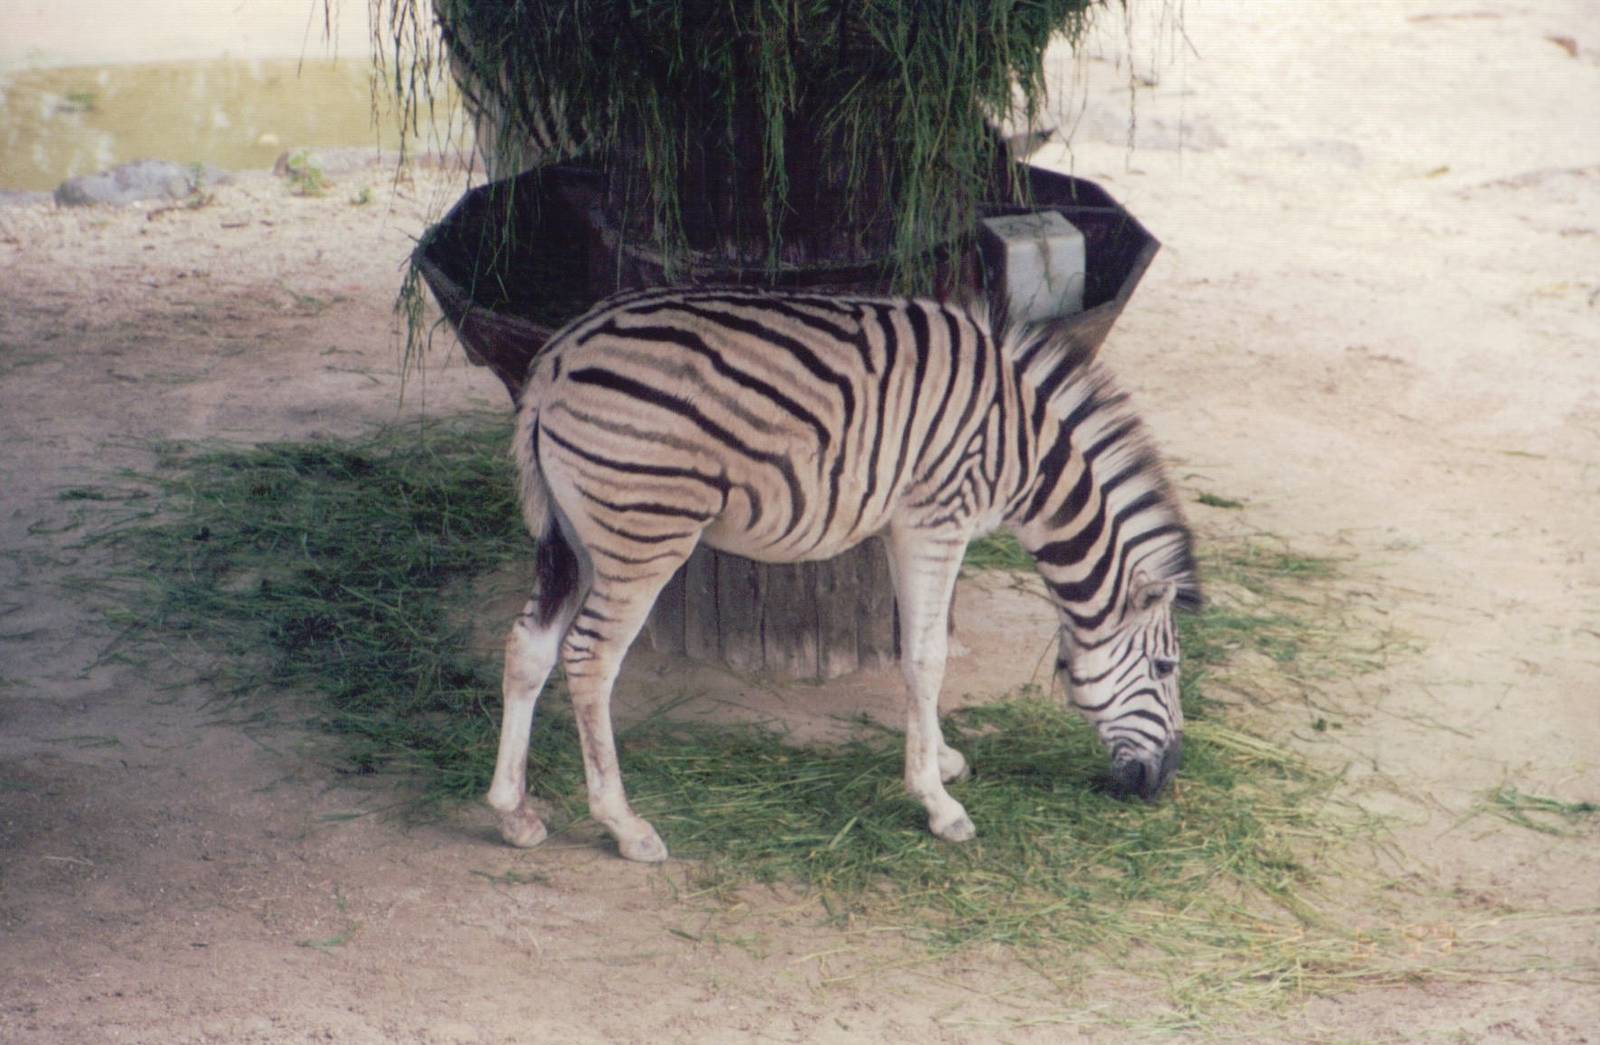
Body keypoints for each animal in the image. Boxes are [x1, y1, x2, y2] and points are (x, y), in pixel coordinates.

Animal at [487, 286, 1200, 862]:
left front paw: (941, 759)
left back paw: (512, 812)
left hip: (576, 538)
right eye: (1166, 667)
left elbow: (920, 649)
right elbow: (927, 659)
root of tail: (554, 361)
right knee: (589, 660)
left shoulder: (902, 526)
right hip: (643, 534)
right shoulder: (937, 520)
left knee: (529, 645)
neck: (1026, 449)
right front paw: (938, 805)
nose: (1164, 783)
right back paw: (624, 826)